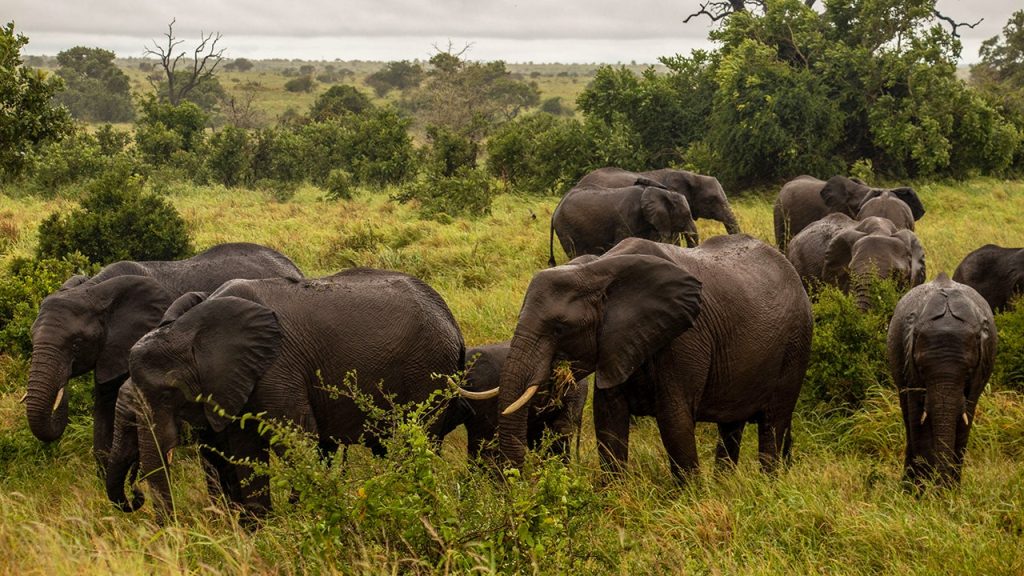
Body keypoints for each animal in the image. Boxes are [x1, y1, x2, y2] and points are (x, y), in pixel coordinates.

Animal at [23, 243, 303, 471]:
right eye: (31, 339)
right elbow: (104, 416)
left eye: (76, 343)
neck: (94, 288)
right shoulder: (109, 352)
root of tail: (293, 266)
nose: (62, 390)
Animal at [105, 268, 465, 519]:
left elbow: (296, 441)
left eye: (170, 394)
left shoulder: (276, 368)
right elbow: (246, 452)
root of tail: (451, 320)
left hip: (428, 370)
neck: (190, 327)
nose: (135, 499)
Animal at [495, 235, 813, 481]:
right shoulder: (618, 342)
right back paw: (726, 484)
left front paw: (690, 499)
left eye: (560, 328)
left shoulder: (685, 336)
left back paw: (767, 485)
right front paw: (613, 499)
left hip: (796, 346)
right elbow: (608, 419)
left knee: (773, 423)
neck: (596, 269)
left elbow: (675, 420)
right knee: (731, 426)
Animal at [887, 273, 996, 487]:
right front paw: (919, 490)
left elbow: (964, 421)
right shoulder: (910, 366)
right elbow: (917, 419)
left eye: (968, 372)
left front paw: (950, 491)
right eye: (922, 369)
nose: (941, 488)